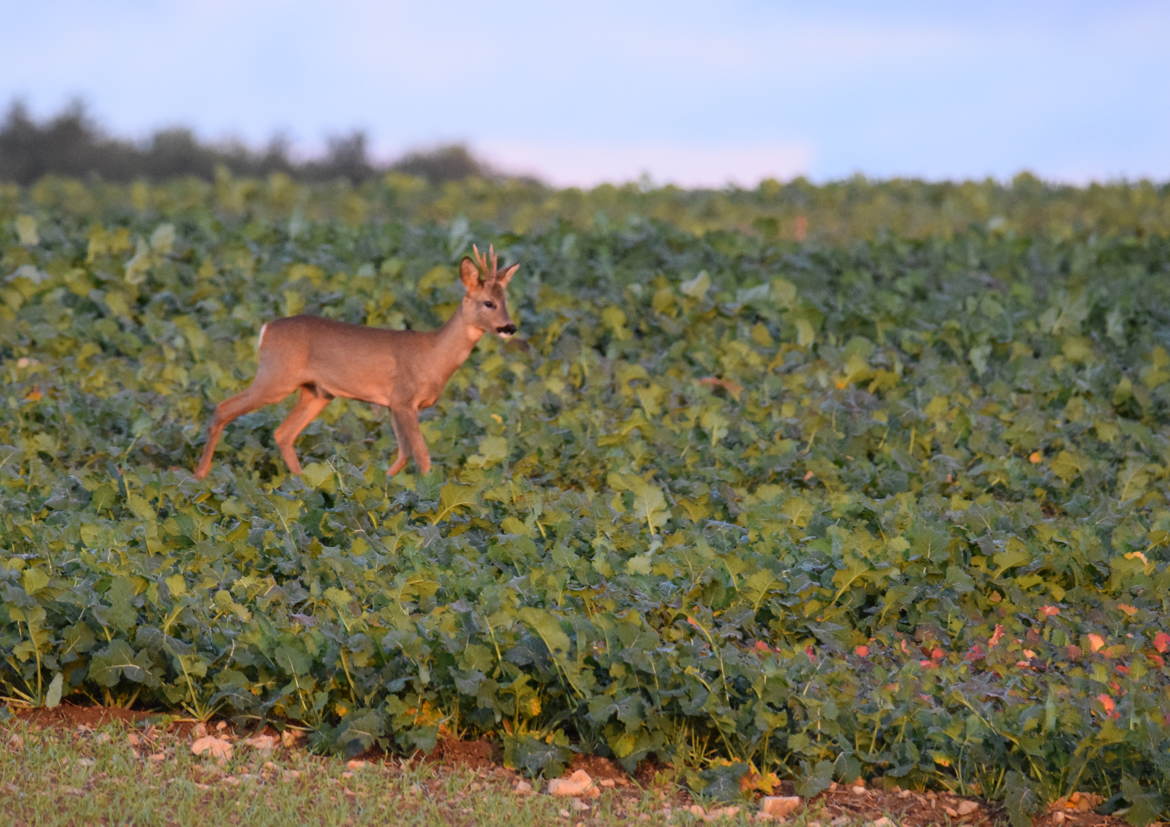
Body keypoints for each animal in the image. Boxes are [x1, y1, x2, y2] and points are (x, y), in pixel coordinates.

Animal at [194, 244, 519, 479]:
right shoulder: (403, 399)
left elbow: (403, 453)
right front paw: (429, 490)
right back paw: (200, 475)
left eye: (506, 301)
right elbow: (421, 455)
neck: (433, 355)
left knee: (282, 433)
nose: (510, 327)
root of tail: (266, 329)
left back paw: (303, 484)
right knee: (223, 408)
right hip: (276, 377)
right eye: (488, 302)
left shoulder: (393, 404)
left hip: (316, 392)